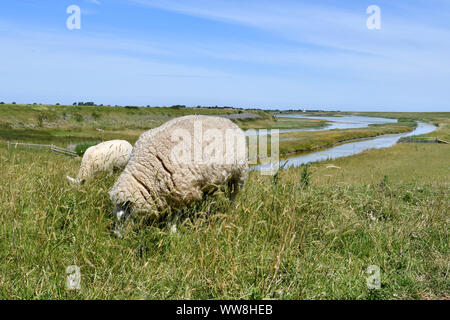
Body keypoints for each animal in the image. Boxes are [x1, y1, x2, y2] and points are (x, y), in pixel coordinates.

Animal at [110, 115, 248, 228]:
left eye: (123, 218)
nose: (117, 236)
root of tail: (230, 121)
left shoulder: (180, 189)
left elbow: (174, 214)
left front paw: (172, 230)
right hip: (210, 178)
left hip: (239, 173)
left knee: (233, 195)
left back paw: (230, 211)